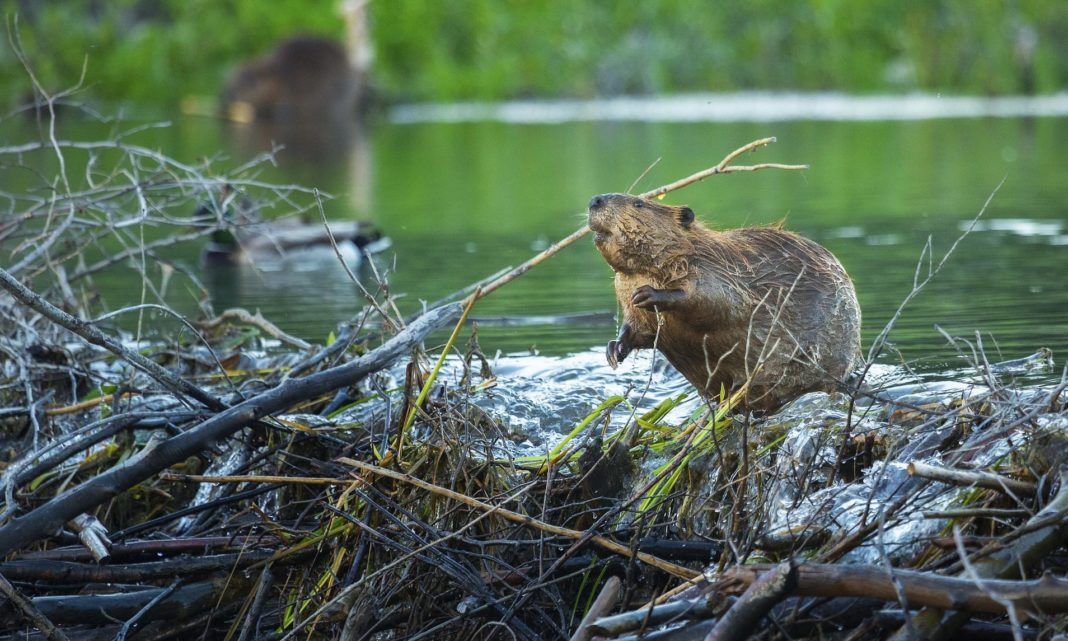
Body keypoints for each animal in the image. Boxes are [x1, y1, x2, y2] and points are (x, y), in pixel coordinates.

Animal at [589, 191, 862, 410]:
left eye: (638, 204)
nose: (595, 200)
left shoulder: (714, 269)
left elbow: (719, 302)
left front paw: (648, 294)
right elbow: (638, 329)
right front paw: (614, 349)